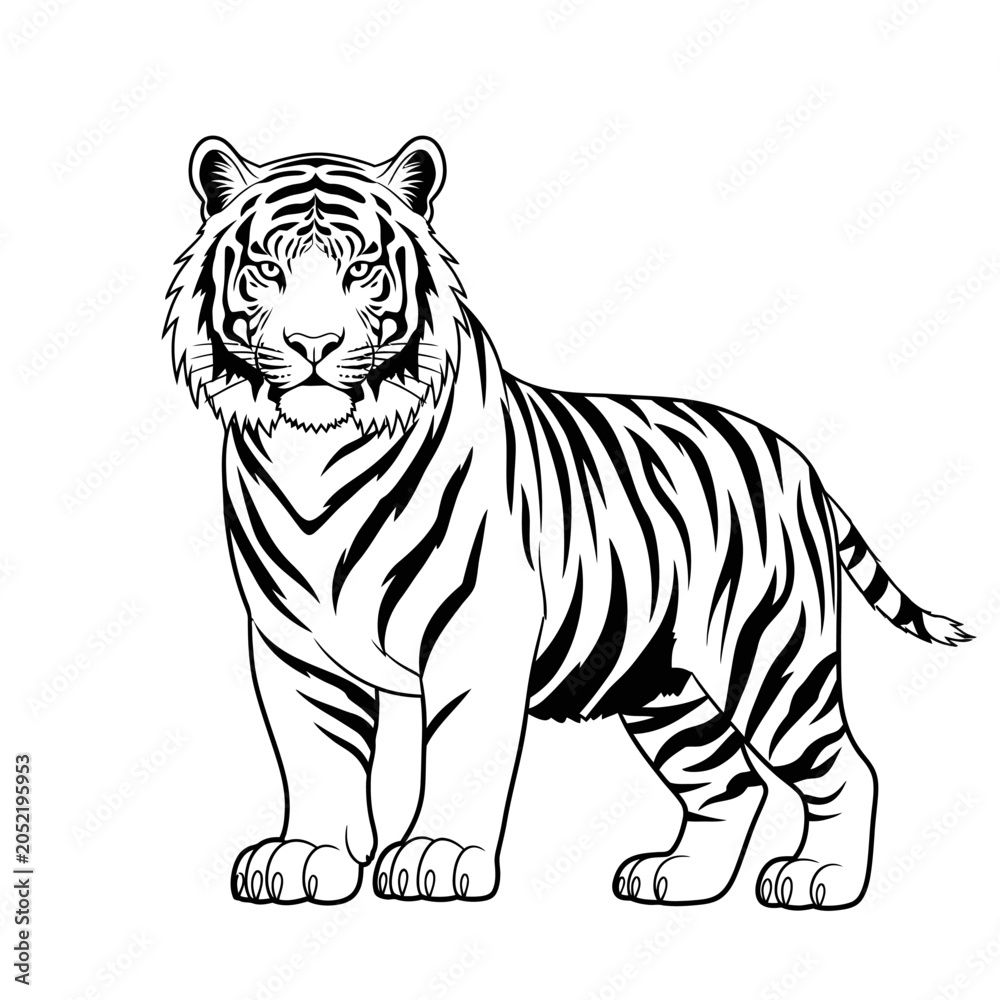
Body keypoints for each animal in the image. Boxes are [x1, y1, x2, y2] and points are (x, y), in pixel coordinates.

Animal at [164, 133, 971, 909]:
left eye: (361, 270)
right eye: (268, 270)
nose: (313, 346)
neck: (316, 460)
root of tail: (797, 461)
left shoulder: (476, 636)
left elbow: (458, 754)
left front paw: (436, 858)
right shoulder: (291, 644)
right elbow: (316, 758)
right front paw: (306, 859)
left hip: (770, 654)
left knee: (845, 768)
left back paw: (819, 878)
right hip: (664, 686)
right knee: (730, 784)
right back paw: (679, 877)